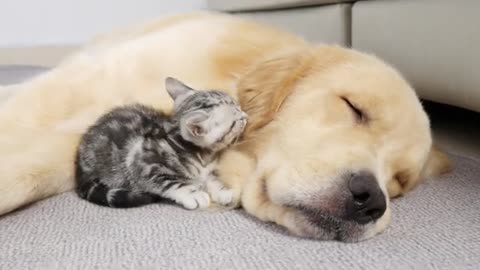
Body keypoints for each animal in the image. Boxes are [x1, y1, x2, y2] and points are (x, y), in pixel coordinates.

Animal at [76, 77, 248, 210]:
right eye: (237, 120)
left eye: (237, 105)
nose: (245, 114)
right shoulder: (141, 162)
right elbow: (171, 183)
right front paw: (194, 194)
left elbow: (210, 179)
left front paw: (221, 191)